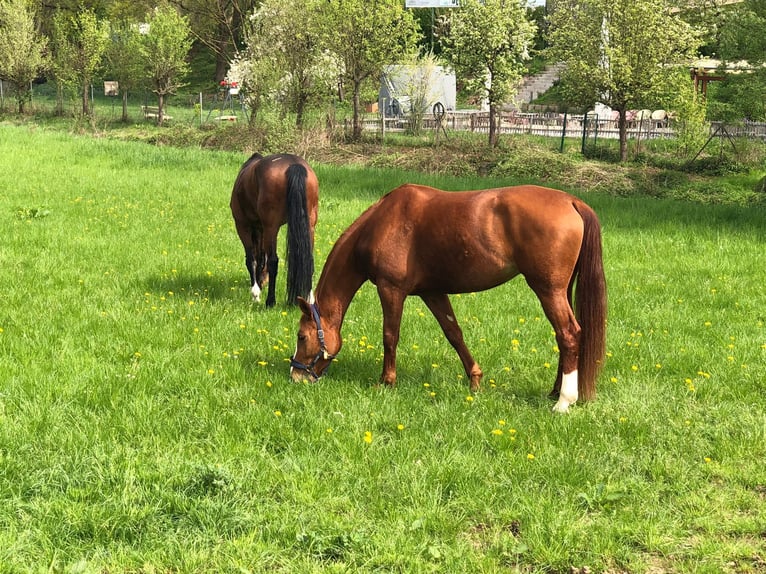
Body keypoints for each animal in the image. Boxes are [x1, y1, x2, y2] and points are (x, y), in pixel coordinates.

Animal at [230, 153, 319, 307]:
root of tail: (293, 164)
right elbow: (260, 258)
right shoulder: (260, 229)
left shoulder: (243, 226)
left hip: (271, 227)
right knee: (309, 260)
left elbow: (252, 259)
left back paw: (270, 301)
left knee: (273, 261)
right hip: (309, 225)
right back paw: (309, 299)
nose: (263, 282)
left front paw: (255, 293)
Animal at [290, 184, 607, 413]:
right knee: (565, 337)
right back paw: (554, 391)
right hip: (560, 291)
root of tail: (572, 202)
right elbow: (454, 333)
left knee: (568, 334)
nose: (296, 376)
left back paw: (563, 401)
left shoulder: (391, 290)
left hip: (548, 291)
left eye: (301, 337)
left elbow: (390, 335)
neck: (381, 222)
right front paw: (475, 380)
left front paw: (386, 382)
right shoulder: (433, 292)